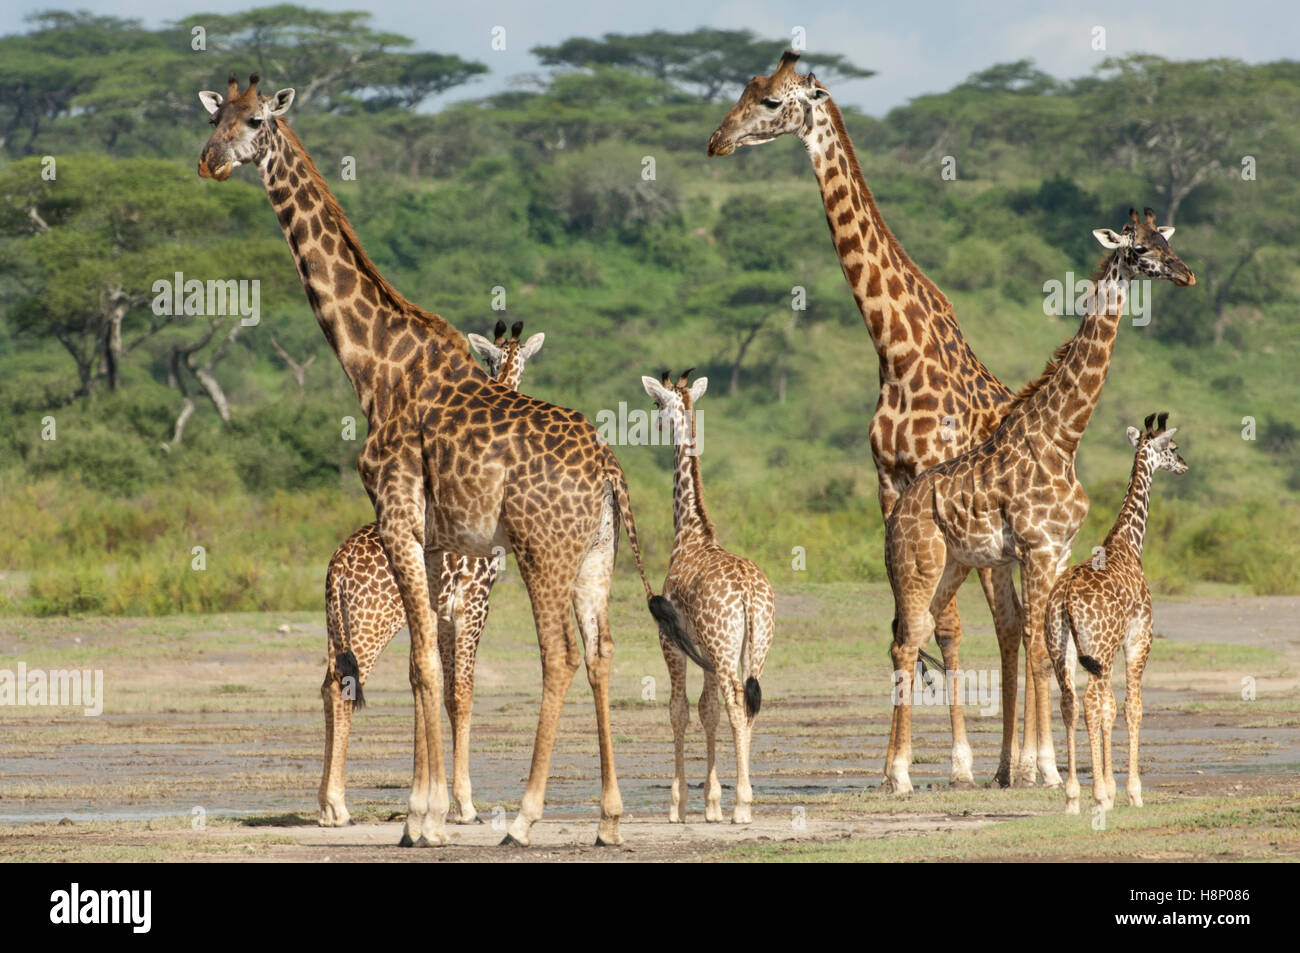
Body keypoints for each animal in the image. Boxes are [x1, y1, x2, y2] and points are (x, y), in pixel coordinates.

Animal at [318, 320, 544, 828]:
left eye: (521, 361)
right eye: (503, 360)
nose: (513, 388)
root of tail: (336, 567)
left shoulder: (441, 611)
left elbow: (431, 687)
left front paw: (425, 798)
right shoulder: (473, 602)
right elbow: (461, 691)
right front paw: (465, 805)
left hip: (339, 627)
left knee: (326, 683)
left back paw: (324, 806)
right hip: (372, 622)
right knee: (342, 688)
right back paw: (337, 808)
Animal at [640, 370, 776, 824]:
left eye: (657, 403)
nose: (653, 426)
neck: (690, 533)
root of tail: (750, 594)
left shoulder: (670, 639)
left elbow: (679, 709)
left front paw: (678, 805)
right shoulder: (706, 650)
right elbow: (707, 710)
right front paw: (712, 802)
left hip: (724, 645)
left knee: (736, 702)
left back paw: (744, 805)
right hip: (754, 646)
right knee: (749, 702)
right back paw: (740, 801)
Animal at [708, 50, 1031, 787]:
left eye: (772, 101)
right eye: (745, 89)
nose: (716, 142)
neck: (895, 348)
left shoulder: (933, 482)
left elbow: (945, 627)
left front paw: (950, 763)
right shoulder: (887, 484)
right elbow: (905, 626)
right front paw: (903, 762)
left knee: (1020, 623)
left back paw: (1029, 762)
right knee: (1010, 623)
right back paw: (1014, 761)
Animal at [1045, 413, 1187, 814]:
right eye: (1172, 447)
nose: (1184, 465)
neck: (1128, 543)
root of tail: (1064, 597)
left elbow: (1110, 707)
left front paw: (1109, 789)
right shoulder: (1139, 637)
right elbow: (1131, 706)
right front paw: (1130, 792)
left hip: (1060, 647)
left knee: (1070, 702)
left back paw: (1072, 797)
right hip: (1100, 646)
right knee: (1091, 702)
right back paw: (1094, 794)